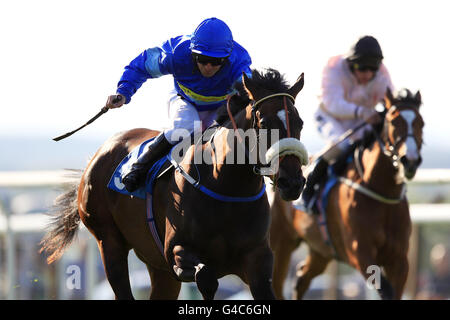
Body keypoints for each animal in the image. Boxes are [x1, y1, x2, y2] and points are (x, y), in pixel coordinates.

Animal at [40, 68, 310, 300]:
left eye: (300, 122)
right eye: (263, 123)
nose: (292, 182)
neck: (226, 187)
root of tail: (98, 154)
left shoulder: (257, 260)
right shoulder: (175, 253)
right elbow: (206, 277)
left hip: (156, 265)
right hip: (108, 241)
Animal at [268, 88, 424, 300]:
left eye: (421, 123)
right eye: (394, 122)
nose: (410, 160)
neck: (380, 192)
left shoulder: (399, 260)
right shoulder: (361, 253)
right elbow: (386, 290)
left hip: (321, 250)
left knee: (301, 278)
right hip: (281, 242)